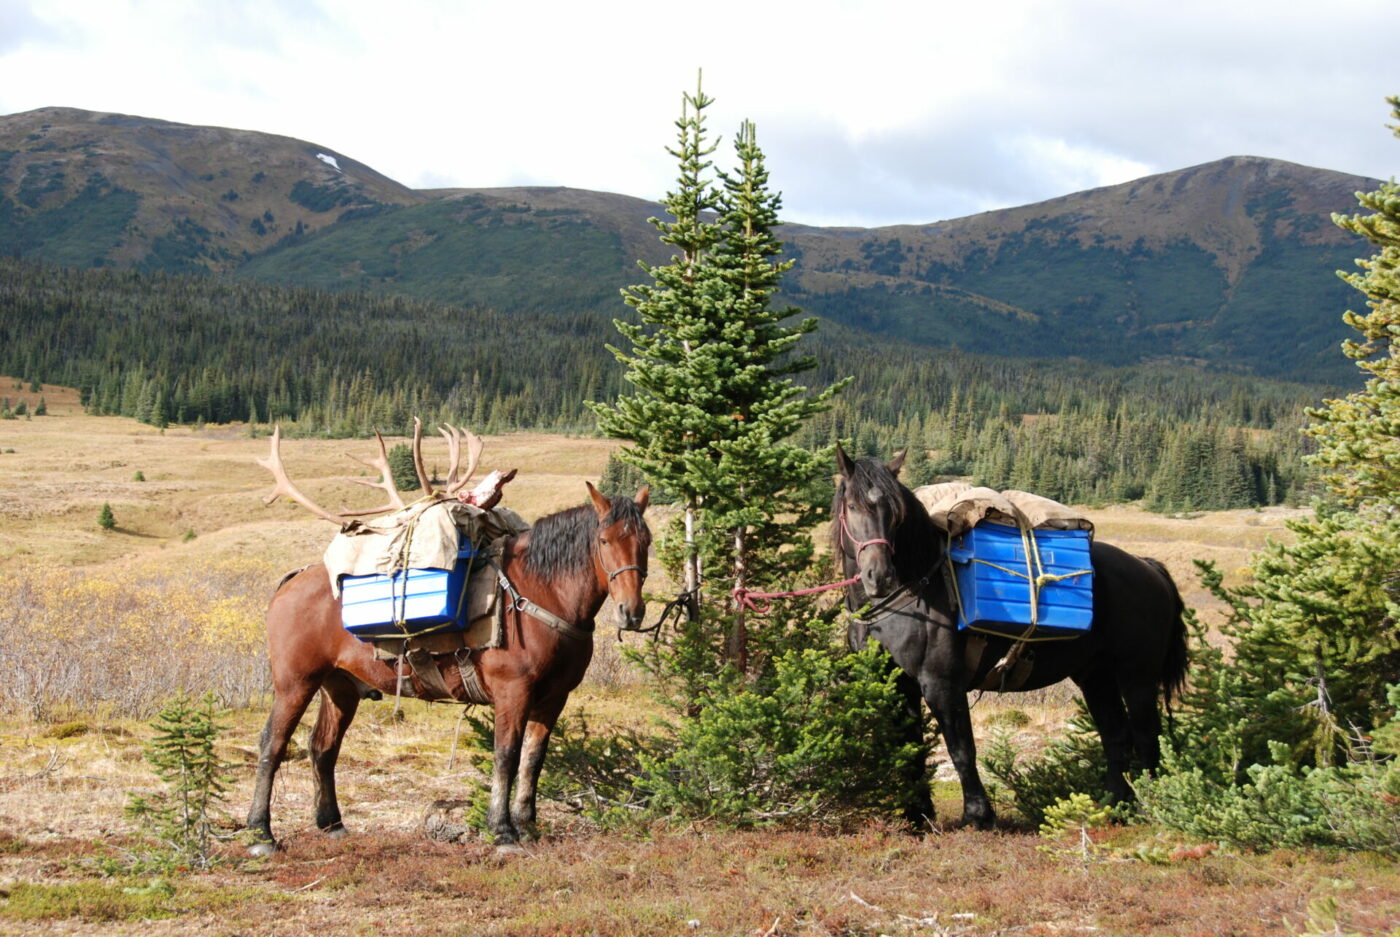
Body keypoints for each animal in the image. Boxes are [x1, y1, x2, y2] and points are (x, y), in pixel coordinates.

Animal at [246, 482, 651, 853]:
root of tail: (294, 580)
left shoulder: (553, 699)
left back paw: (332, 824)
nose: (631, 612)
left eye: (645, 541)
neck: (541, 593)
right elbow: (506, 756)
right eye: (604, 540)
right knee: (273, 744)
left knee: (323, 747)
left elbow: (533, 761)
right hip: (295, 684)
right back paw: (260, 834)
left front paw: (527, 825)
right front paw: (502, 831)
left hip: (340, 687)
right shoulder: (513, 693)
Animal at [833, 444, 1188, 829]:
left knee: (1146, 738)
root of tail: (1148, 568)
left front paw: (978, 816)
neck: (911, 592)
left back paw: (1148, 809)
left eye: (895, 513)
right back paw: (1112, 808)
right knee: (1116, 738)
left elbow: (961, 749)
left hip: (1137, 678)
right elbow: (910, 747)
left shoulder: (941, 682)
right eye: (852, 506)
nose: (879, 576)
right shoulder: (901, 685)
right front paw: (917, 816)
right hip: (1097, 677)